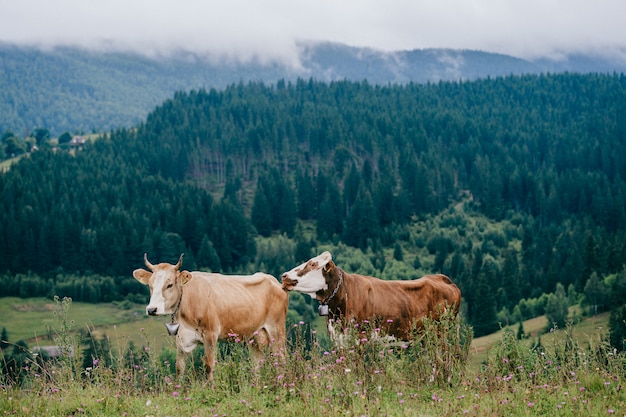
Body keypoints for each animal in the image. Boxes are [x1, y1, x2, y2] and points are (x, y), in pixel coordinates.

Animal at [134, 252, 288, 378]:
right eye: (150, 285)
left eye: (170, 284)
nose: (152, 309)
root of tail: (272, 280)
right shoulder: (181, 338)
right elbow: (179, 368)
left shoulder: (210, 335)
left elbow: (209, 366)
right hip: (254, 337)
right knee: (258, 364)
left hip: (277, 331)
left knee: (281, 359)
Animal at [280, 252, 460, 342]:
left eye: (312, 264)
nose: (284, 275)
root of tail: (440, 278)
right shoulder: (337, 339)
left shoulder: (360, 336)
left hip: (442, 332)